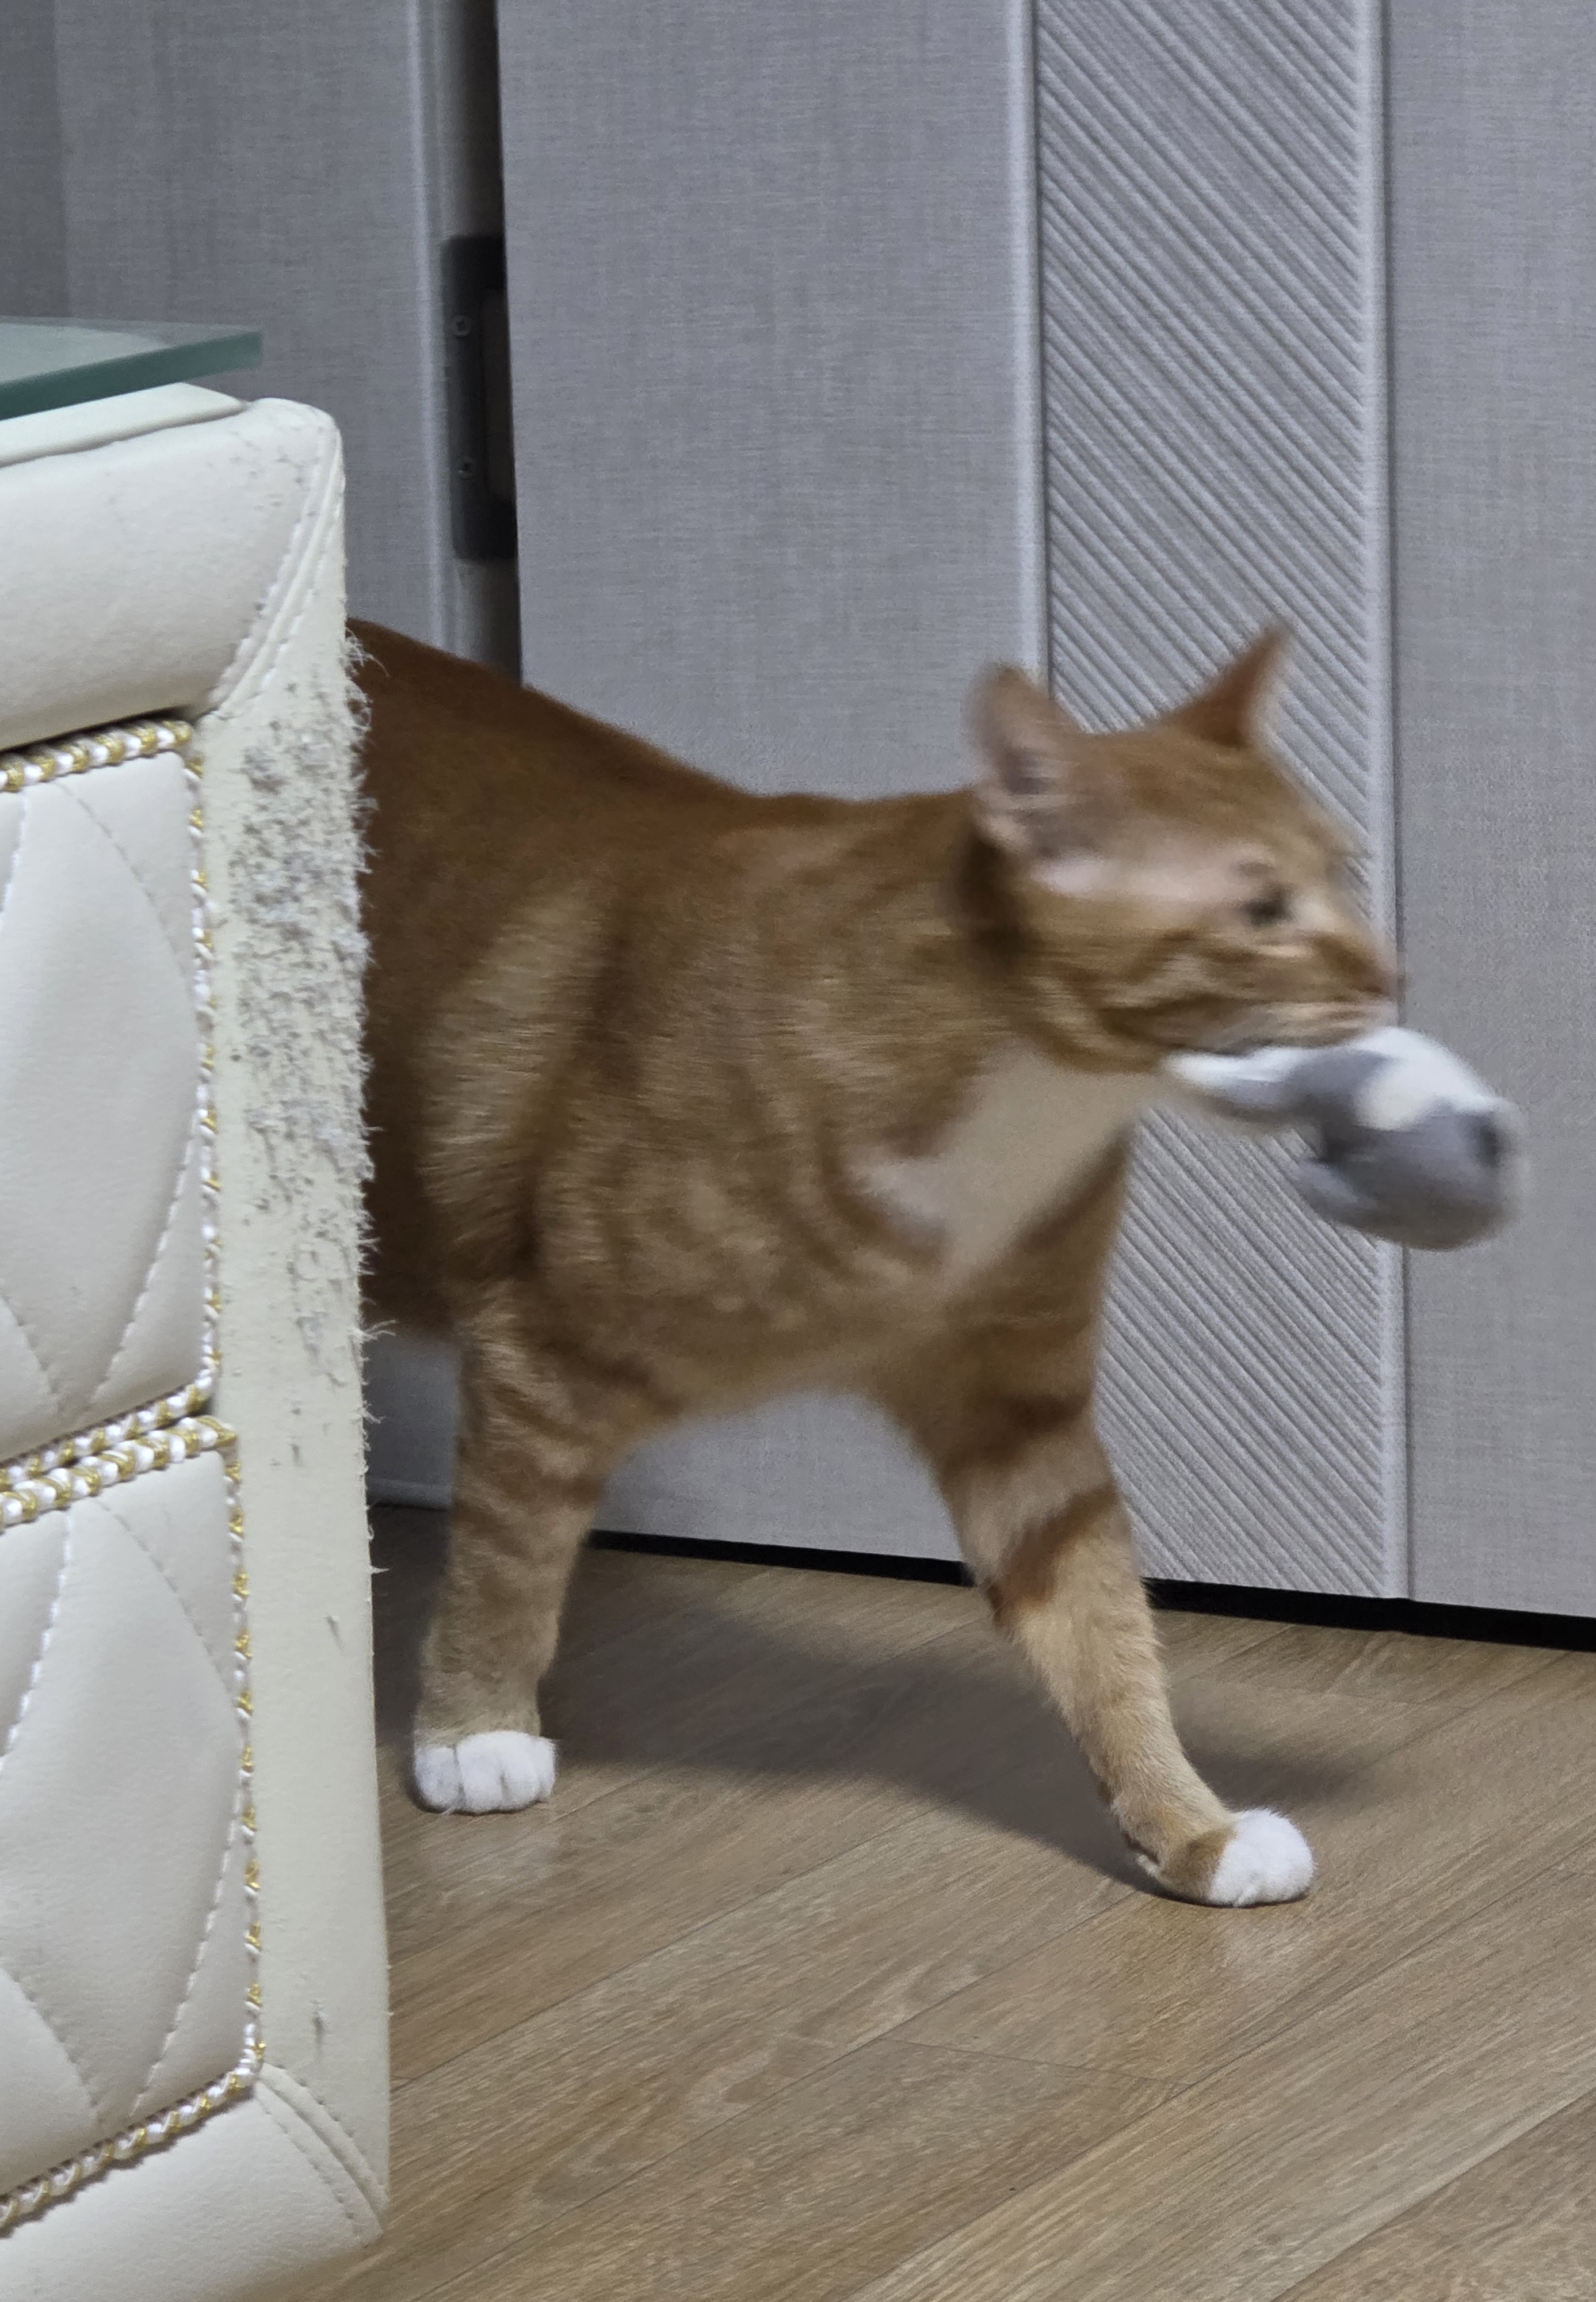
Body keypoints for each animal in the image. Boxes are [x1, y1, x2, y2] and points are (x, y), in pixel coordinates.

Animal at [355, 619, 1394, 1905]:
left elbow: (1101, 1623)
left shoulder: (1019, 1409)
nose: (1387, 976)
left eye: (1341, 870)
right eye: (1259, 909)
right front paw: (474, 1729)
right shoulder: (541, 1354)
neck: (1025, 1095)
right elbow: (506, 1560)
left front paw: (1189, 1826)